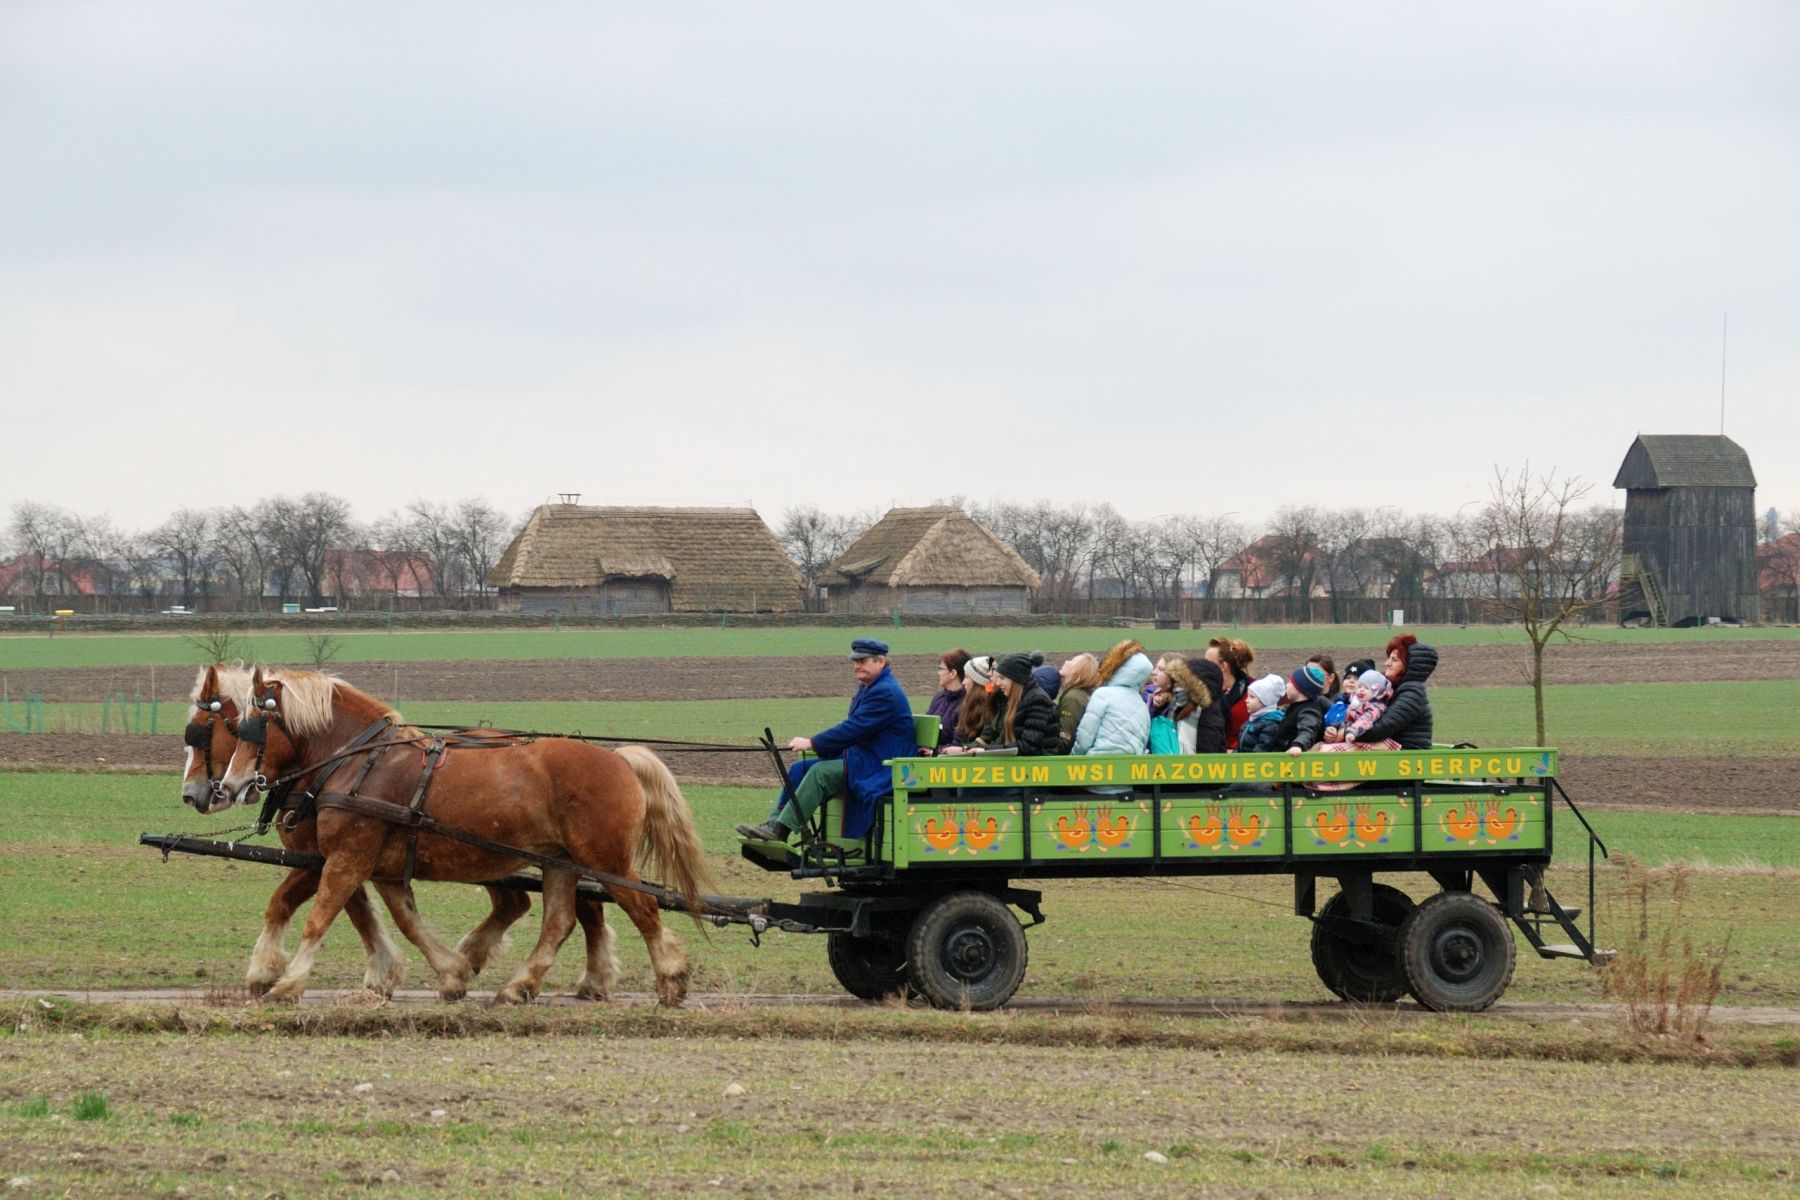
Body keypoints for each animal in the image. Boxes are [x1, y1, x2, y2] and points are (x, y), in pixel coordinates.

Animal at [217, 665, 709, 1007]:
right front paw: (452, 973)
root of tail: (619, 758)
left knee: (642, 908)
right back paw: (519, 986)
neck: (361, 762)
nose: (230, 785)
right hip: (560, 862)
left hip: (606, 860)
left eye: (253, 728)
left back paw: (671, 979)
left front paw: (287, 984)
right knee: (559, 921)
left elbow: (319, 918)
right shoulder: (381, 867)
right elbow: (407, 922)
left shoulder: (347, 858)